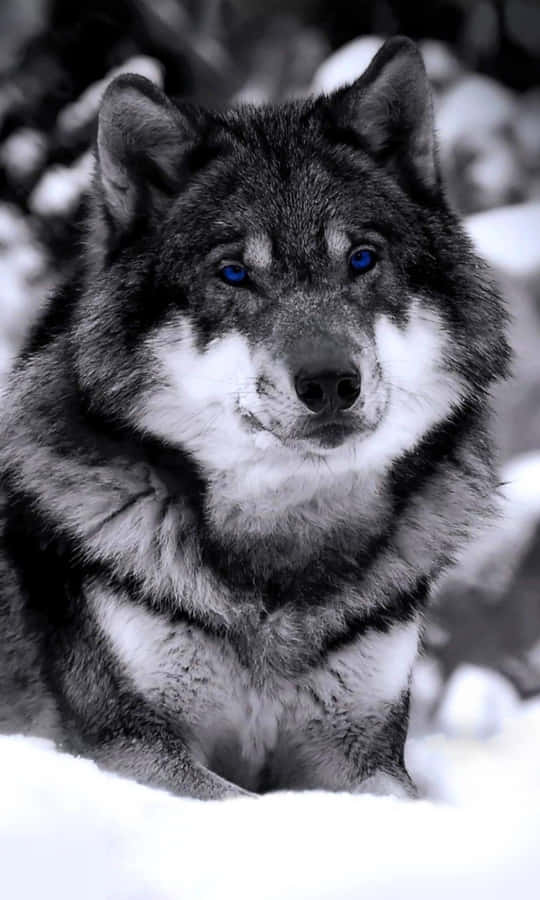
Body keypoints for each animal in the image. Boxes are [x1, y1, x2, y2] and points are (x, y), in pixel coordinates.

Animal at [0, 37, 508, 799]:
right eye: (235, 273)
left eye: (362, 260)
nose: (330, 383)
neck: (282, 554)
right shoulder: (127, 746)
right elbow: (235, 800)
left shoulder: (365, 752)